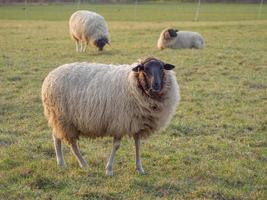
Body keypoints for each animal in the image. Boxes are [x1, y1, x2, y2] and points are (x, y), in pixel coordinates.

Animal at [41, 56, 180, 175]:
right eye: (144, 69)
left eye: (162, 68)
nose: (156, 85)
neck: (132, 84)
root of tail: (51, 75)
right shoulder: (119, 122)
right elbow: (116, 146)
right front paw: (109, 169)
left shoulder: (137, 122)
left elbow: (138, 145)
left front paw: (139, 168)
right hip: (63, 118)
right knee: (70, 143)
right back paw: (79, 163)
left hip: (60, 118)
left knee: (57, 137)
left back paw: (63, 163)